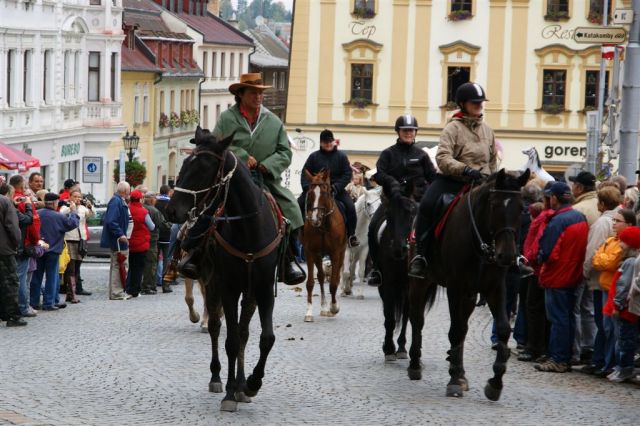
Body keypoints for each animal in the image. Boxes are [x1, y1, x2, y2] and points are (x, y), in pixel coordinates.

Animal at [165, 127, 282, 412]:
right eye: (185, 164)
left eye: (202, 169)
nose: (171, 210)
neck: (249, 229)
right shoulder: (227, 287)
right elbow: (229, 339)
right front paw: (230, 392)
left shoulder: (263, 290)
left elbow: (264, 338)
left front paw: (250, 384)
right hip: (212, 284)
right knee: (217, 327)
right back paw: (218, 378)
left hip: (248, 295)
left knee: (243, 332)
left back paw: (241, 385)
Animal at [302, 168, 348, 322]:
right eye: (310, 193)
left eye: (325, 193)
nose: (315, 219)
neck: (323, 225)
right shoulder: (310, 252)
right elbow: (310, 282)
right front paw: (309, 312)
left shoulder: (335, 253)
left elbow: (333, 283)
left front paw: (334, 308)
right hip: (318, 255)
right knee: (321, 277)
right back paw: (323, 307)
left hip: (342, 253)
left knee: (336, 277)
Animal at [410, 169, 528, 400]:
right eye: (495, 205)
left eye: (521, 207)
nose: (507, 256)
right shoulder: (456, 288)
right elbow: (455, 330)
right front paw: (454, 381)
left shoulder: (494, 288)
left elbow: (502, 329)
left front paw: (495, 382)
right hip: (420, 283)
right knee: (417, 320)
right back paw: (414, 365)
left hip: (471, 296)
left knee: (463, 328)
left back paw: (460, 371)